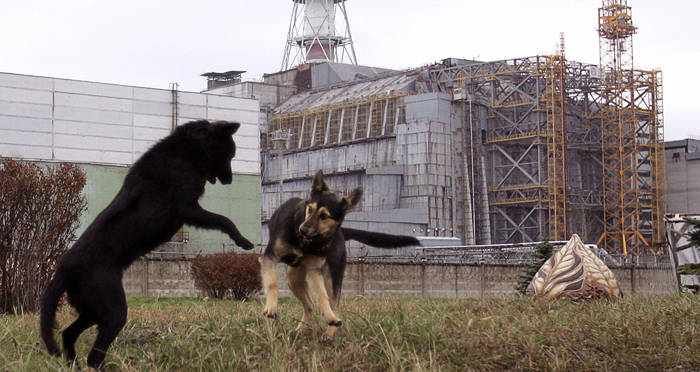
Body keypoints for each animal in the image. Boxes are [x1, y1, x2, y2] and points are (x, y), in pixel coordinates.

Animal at [258, 170, 418, 342]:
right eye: (310, 209)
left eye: (324, 216)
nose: (302, 230)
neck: (305, 243)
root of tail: (341, 233)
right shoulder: (269, 257)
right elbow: (272, 283)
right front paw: (271, 308)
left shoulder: (313, 270)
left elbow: (322, 296)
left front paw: (329, 317)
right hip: (293, 278)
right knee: (310, 306)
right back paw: (300, 329)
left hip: (332, 275)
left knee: (332, 304)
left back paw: (329, 330)